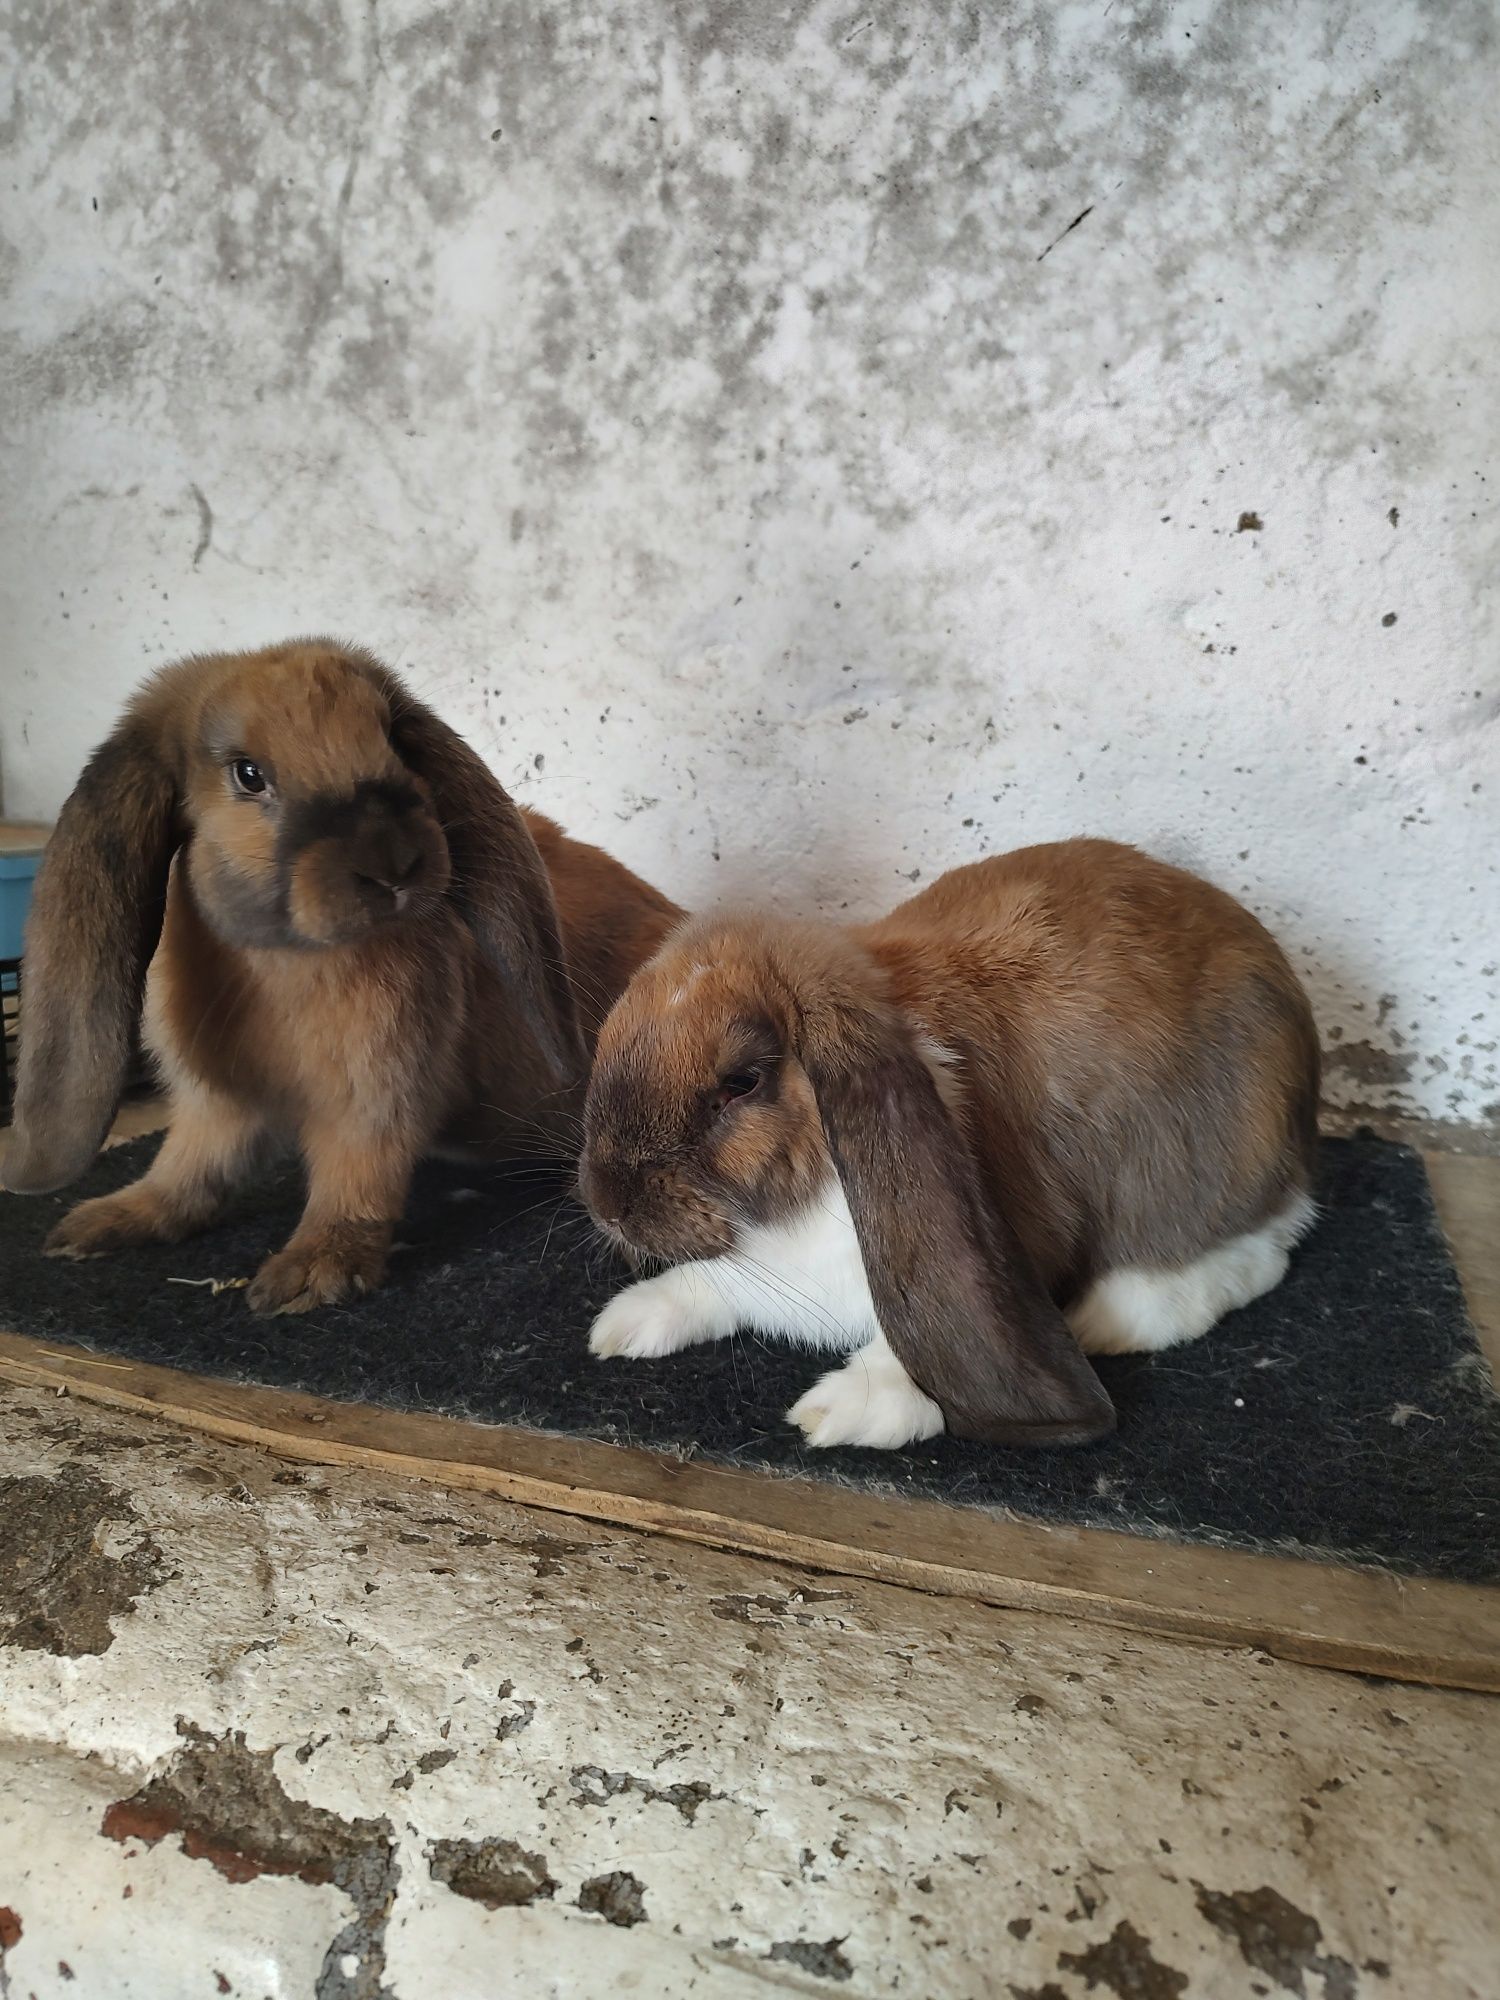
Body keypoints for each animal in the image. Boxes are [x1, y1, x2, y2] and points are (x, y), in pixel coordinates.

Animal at [0, 640, 680, 1312]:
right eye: (247, 774)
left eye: (393, 741)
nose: (393, 864)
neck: (286, 959)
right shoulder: (216, 1102)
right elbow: (187, 1170)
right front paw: (100, 1224)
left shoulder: (379, 1091)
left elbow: (357, 1175)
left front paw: (311, 1274)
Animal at [576, 840, 1312, 1456]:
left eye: (740, 1083)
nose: (607, 1204)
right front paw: (627, 1324)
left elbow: (912, 1341)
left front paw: (847, 1408)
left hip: (1212, 1170)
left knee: (1256, 1254)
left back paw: (1106, 1319)